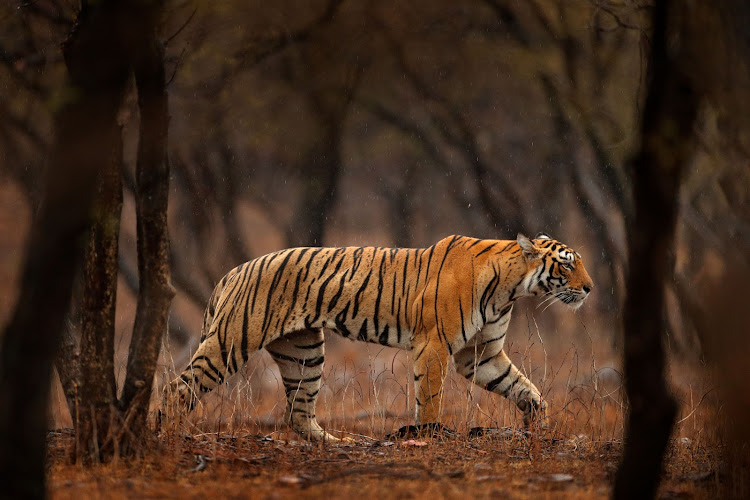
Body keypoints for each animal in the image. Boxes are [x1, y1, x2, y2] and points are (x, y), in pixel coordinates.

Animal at [164, 234, 592, 442]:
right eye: (567, 264)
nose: (590, 288)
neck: (512, 288)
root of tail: (234, 271)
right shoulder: (434, 346)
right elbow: (430, 399)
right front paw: (429, 438)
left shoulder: (480, 354)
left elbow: (525, 388)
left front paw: (539, 424)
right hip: (231, 341)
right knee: (177, 387)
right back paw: (164, 435)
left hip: (304, 352)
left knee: (298, 413)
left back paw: (338, 443)